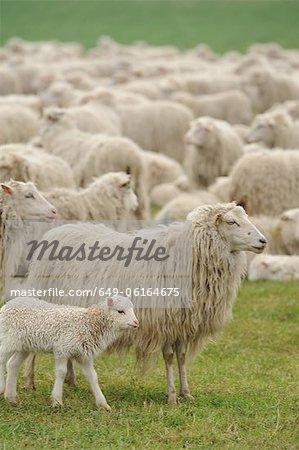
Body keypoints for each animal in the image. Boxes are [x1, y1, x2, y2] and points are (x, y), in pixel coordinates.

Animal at [0, 296, 138, 408]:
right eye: (120, 311)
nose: (136, 323)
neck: (89, 322)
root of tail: (7, 305)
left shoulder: (84, 355)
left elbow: (93, 376)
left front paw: (103, 404)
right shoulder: (62, 349)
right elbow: (61, 372)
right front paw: (57, 401)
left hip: (24, 345)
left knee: (12, 364)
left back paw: (11, 398)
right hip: (9, 338)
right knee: (2, 358)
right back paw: (2, 388)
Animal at [25, 202, 268, 402]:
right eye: (231, 222)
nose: (263, 241)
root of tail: (57, 230)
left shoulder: (181, 323)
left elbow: (181, 357)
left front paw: (186, 393)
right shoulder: (165, 321)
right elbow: (169, 357)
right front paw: (172, 395)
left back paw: (71, 380)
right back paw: (29, 381)